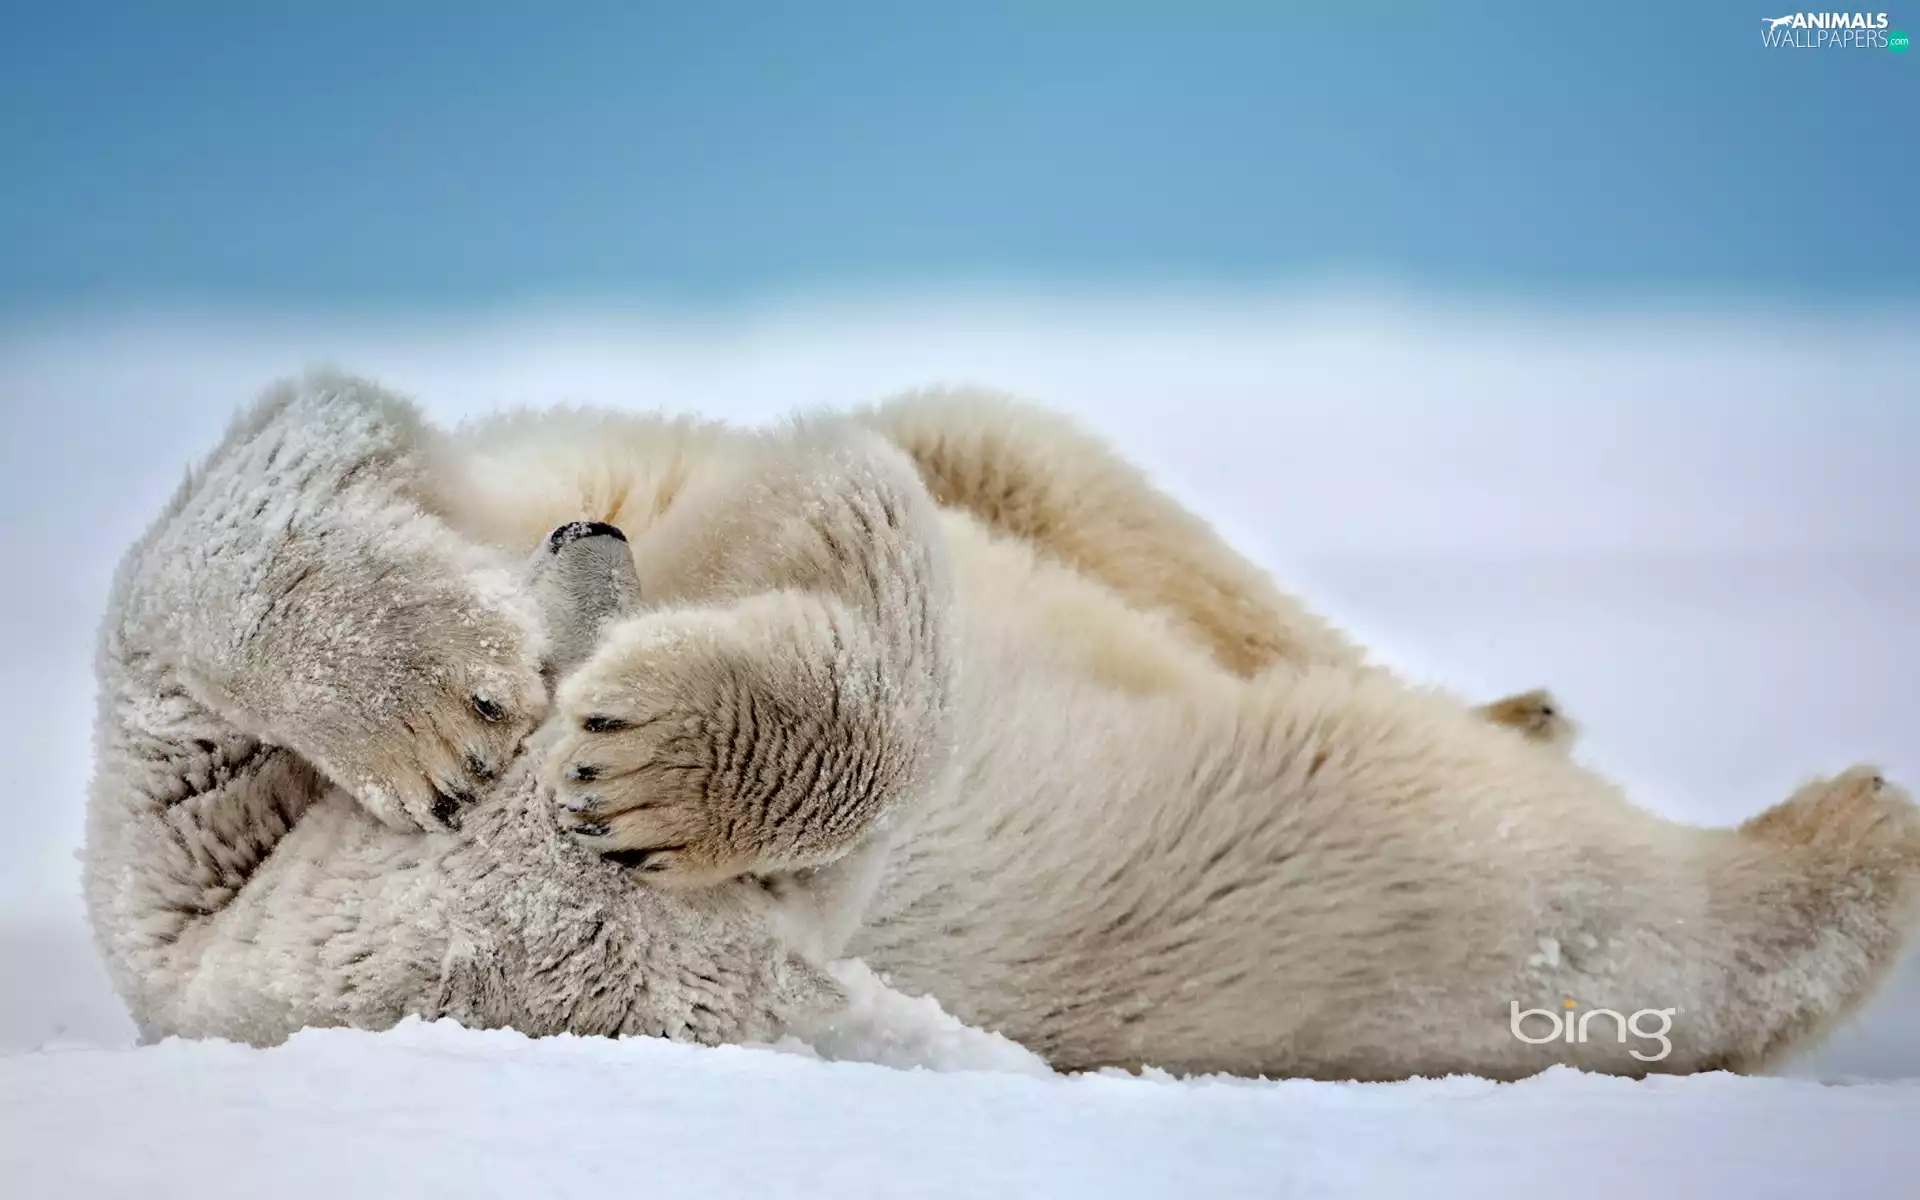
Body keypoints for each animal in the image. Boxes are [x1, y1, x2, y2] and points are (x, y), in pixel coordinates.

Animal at [82, 371, 1920, 1079]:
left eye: (579, 630)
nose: (588, 537)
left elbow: (292, 463)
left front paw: (482, 709)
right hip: (1271, 888)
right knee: (1509, 880)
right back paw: (1844, 834)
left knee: (1051, 472)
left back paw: (1531, 704)